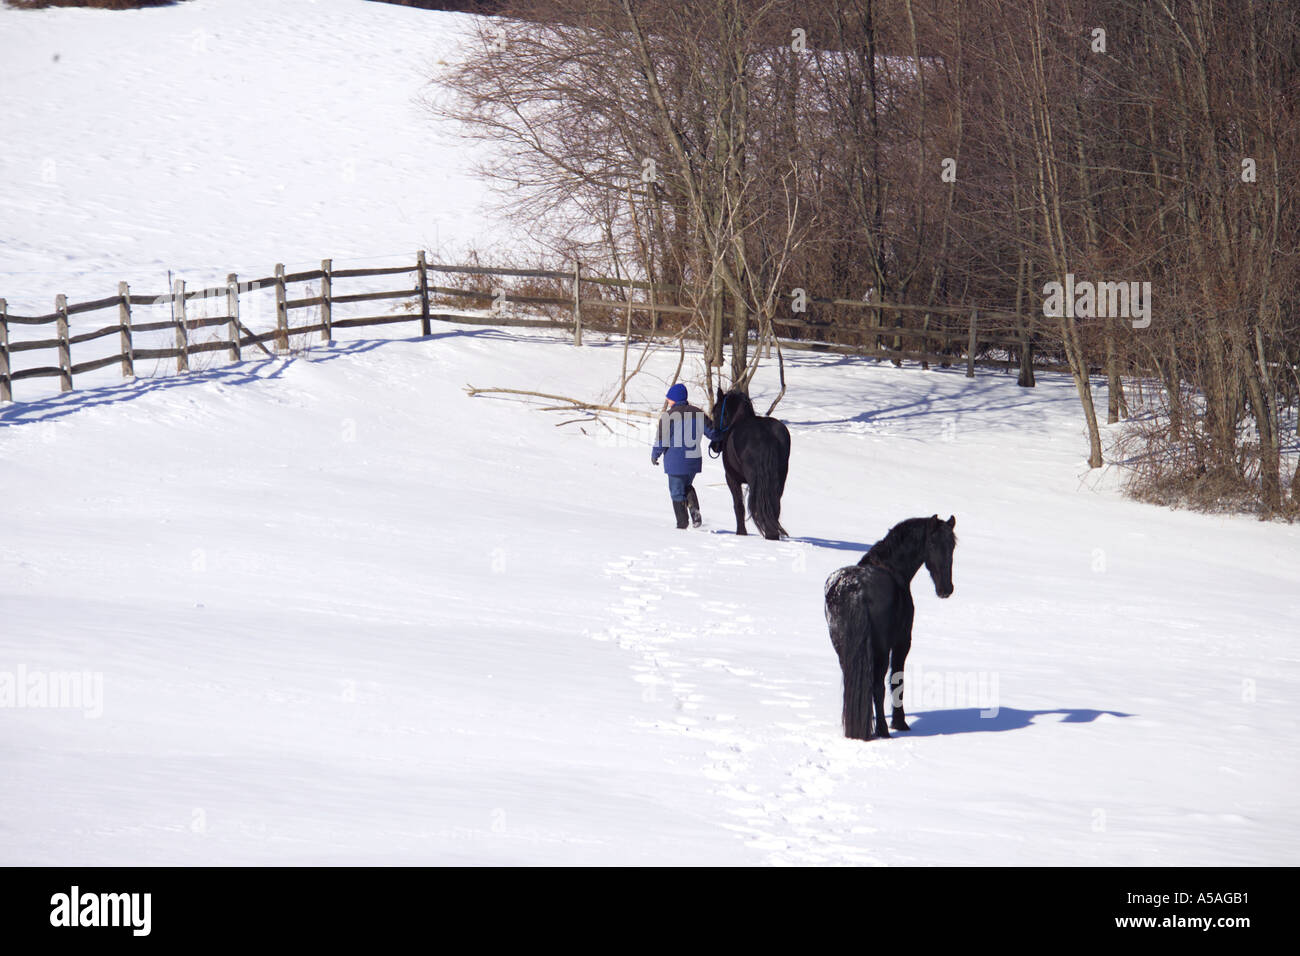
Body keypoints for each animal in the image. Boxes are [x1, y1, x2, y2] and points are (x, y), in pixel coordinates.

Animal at [709, 387, 791, 540]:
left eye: (716, 413)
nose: (714, 446)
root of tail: (766, 434)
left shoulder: (731, 478)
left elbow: (738, 506)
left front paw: (741, 533)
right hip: (780, 478)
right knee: (775, 505)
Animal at [823, 515, 957, 740]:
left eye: (953, 546)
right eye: (932, 543)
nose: (946, 589)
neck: (892, 568)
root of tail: (855, 589)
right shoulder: (902, 642)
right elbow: (897, 681)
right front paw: (900, 723)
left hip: (844, 648)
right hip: (882, 649)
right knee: (877, 685)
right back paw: (883, 730)